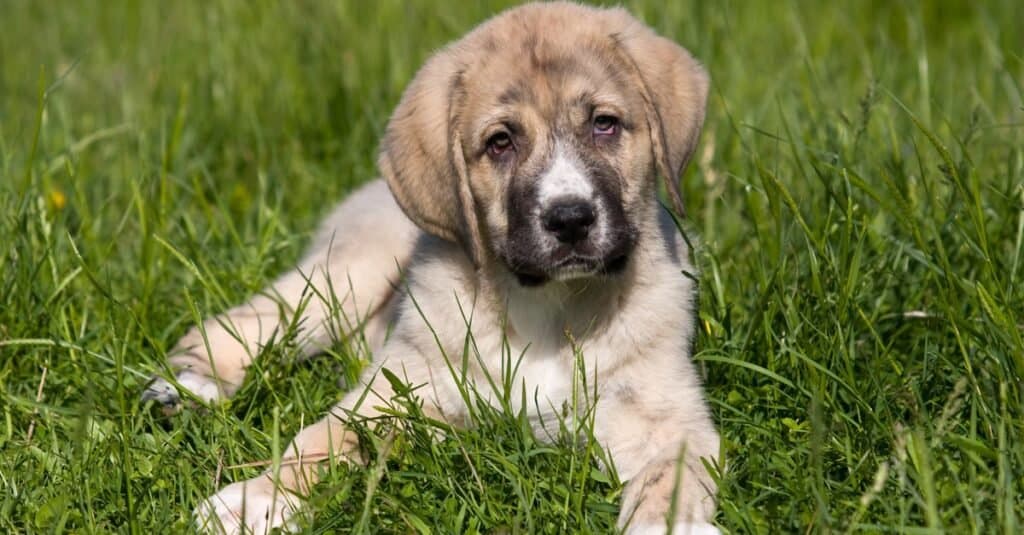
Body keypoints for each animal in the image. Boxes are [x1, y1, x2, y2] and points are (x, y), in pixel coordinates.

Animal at [144, 4, 720, 532]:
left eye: (605, 124)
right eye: (500, 142)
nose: (571, 219)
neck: (547, 307)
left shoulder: (666, 418)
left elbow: (671, 479)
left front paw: (671, 523)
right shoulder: (395, 394)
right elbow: (319, 441)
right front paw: (255, 500)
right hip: (345, 277)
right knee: (249, 321)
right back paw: (189, 384)